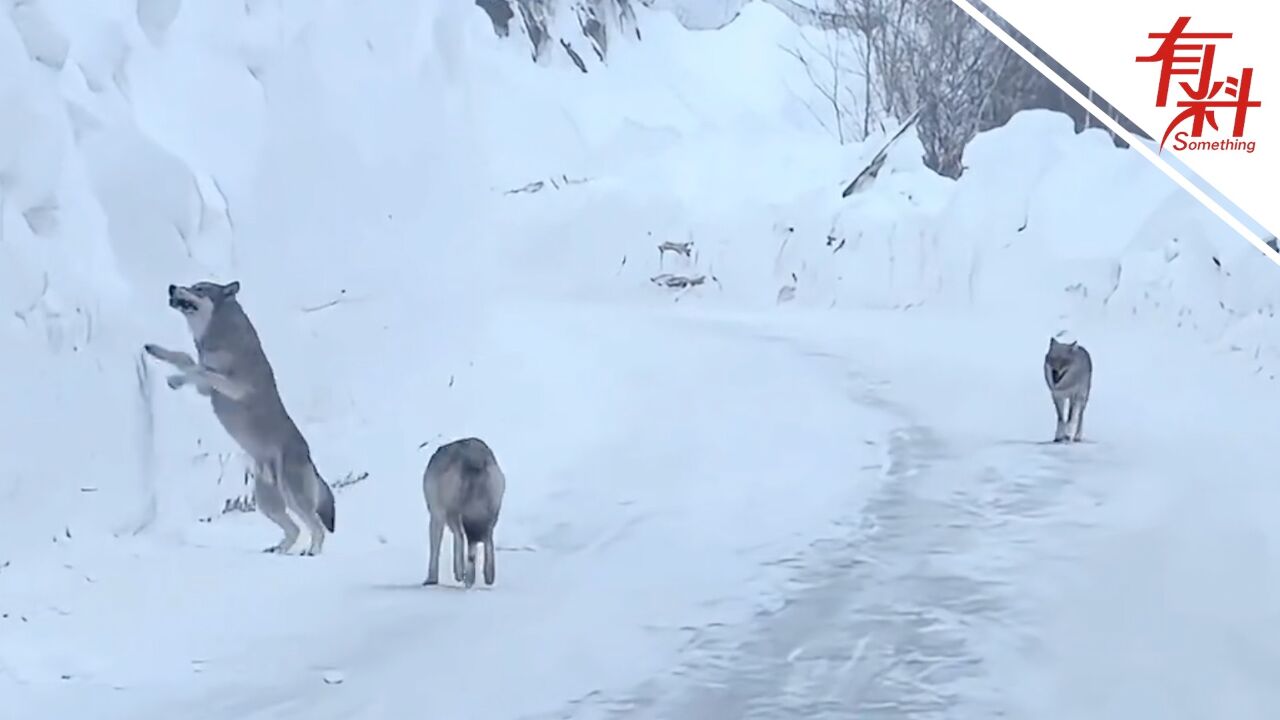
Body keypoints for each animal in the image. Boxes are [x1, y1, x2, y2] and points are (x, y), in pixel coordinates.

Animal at [142, 280, 337, 556]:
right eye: (192, 284)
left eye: (200, 288)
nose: (171, 286)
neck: (220, 336)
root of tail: (309, 456)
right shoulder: (205, 388)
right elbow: (186, 359)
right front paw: (156, 351)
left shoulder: (233, 386)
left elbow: (199, 369)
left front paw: (175, 380)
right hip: (267, 502)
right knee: (294, 529)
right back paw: (277, 550)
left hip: (293, 496)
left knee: (315, 527)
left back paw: (311, 553)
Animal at [424, 435, 504, 586]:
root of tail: (475, 460)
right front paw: (459, 574)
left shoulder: (438, 514)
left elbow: (437, 548)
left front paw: (432, 579)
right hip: (491, 514)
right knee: (487, 540)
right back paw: (488, 577)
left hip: (450, 513)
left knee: (469, 542)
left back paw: (469, 579)